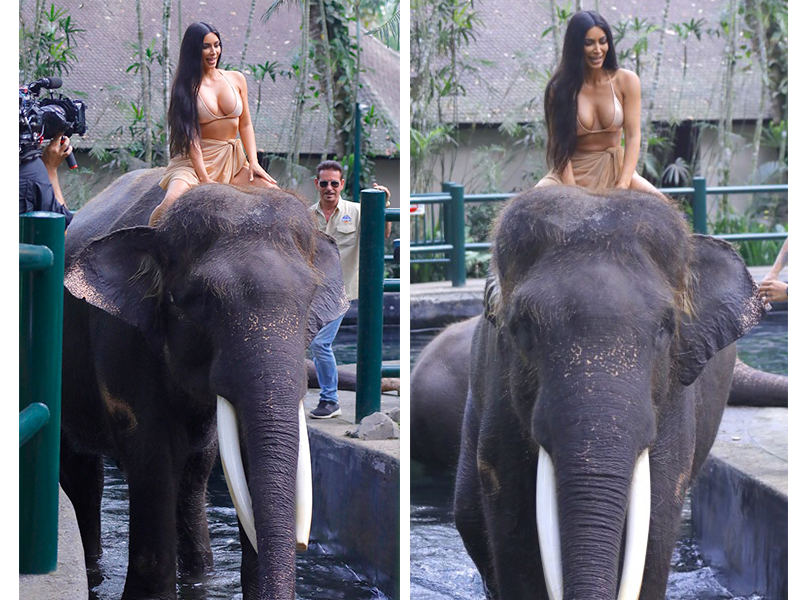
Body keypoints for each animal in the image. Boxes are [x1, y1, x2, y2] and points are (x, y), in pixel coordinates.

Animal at [59, 168, 349, 600]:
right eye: (199, 299)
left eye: (311, 294)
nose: (301, 545)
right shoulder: (122, 339)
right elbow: (153, 456)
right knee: (81, 471)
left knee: (193, 472)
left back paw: (199, 574)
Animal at [452, 186, 764, 600]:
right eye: (523, 326)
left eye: (666, 327)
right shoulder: (501, 395)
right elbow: (514, 520)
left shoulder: (674, 403)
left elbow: (657, 519)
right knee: (469, 513)